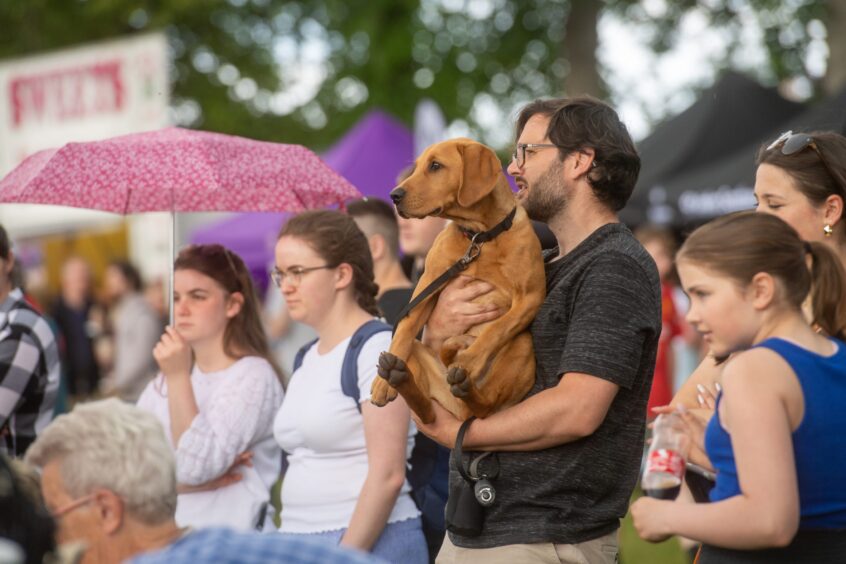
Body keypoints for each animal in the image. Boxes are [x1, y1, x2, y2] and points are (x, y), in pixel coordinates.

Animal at [372, 138, 548, 424]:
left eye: (435, 166)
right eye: (417, 166)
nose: (394, 196)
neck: (480, 237)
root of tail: (461, 408)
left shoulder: (531, 297)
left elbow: (495, 329)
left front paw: (469, 361)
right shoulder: (427, 285)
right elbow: (404, 332)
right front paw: (380, 384)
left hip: (522, 345)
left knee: (484, 407)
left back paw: (464, 382)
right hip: (421, 356)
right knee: (427, 413)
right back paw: (396, 375)